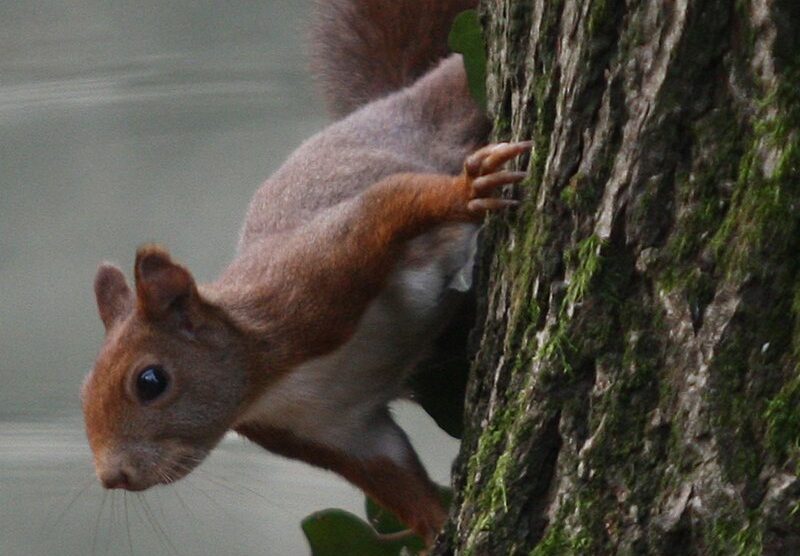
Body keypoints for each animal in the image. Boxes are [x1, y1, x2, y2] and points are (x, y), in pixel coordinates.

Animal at [81, 0, 532, 544]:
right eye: (83, 390)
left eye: (150, 381)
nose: (113, 476)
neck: (269, 384)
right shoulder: (338, 432)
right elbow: (395, 477)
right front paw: (438, 532)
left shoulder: (316, 275)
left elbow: (389, 204)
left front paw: (467, 192)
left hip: (447, 103)